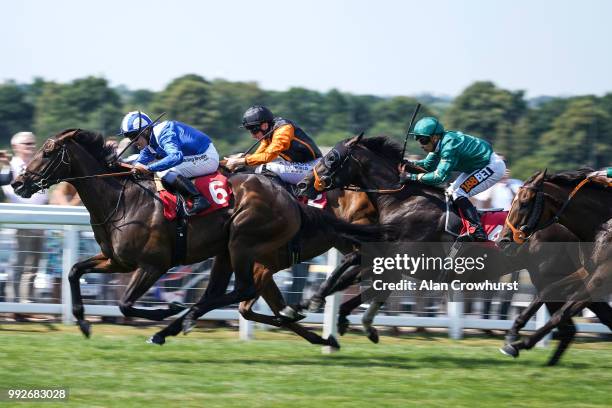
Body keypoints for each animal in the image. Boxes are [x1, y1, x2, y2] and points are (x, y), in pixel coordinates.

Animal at [500, 169, 608, 360]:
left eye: (524, 203)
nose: (503, 240)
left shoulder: (601, 276)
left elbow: (561, 313)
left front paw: (517, 345)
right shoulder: (587, 272)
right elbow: (548, 291)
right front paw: (513, 332)